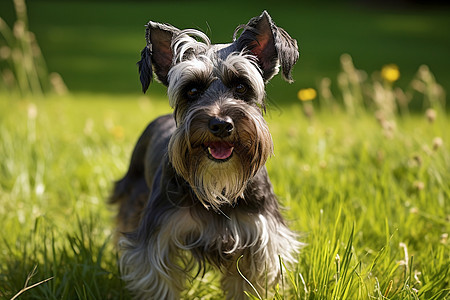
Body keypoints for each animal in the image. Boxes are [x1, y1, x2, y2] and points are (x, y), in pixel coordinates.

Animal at [111, 10, 302, 298]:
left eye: (241, 86)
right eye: (191, 90)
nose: (221, 124)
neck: (219, 185)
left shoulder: (261, 243)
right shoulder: (157, 243)